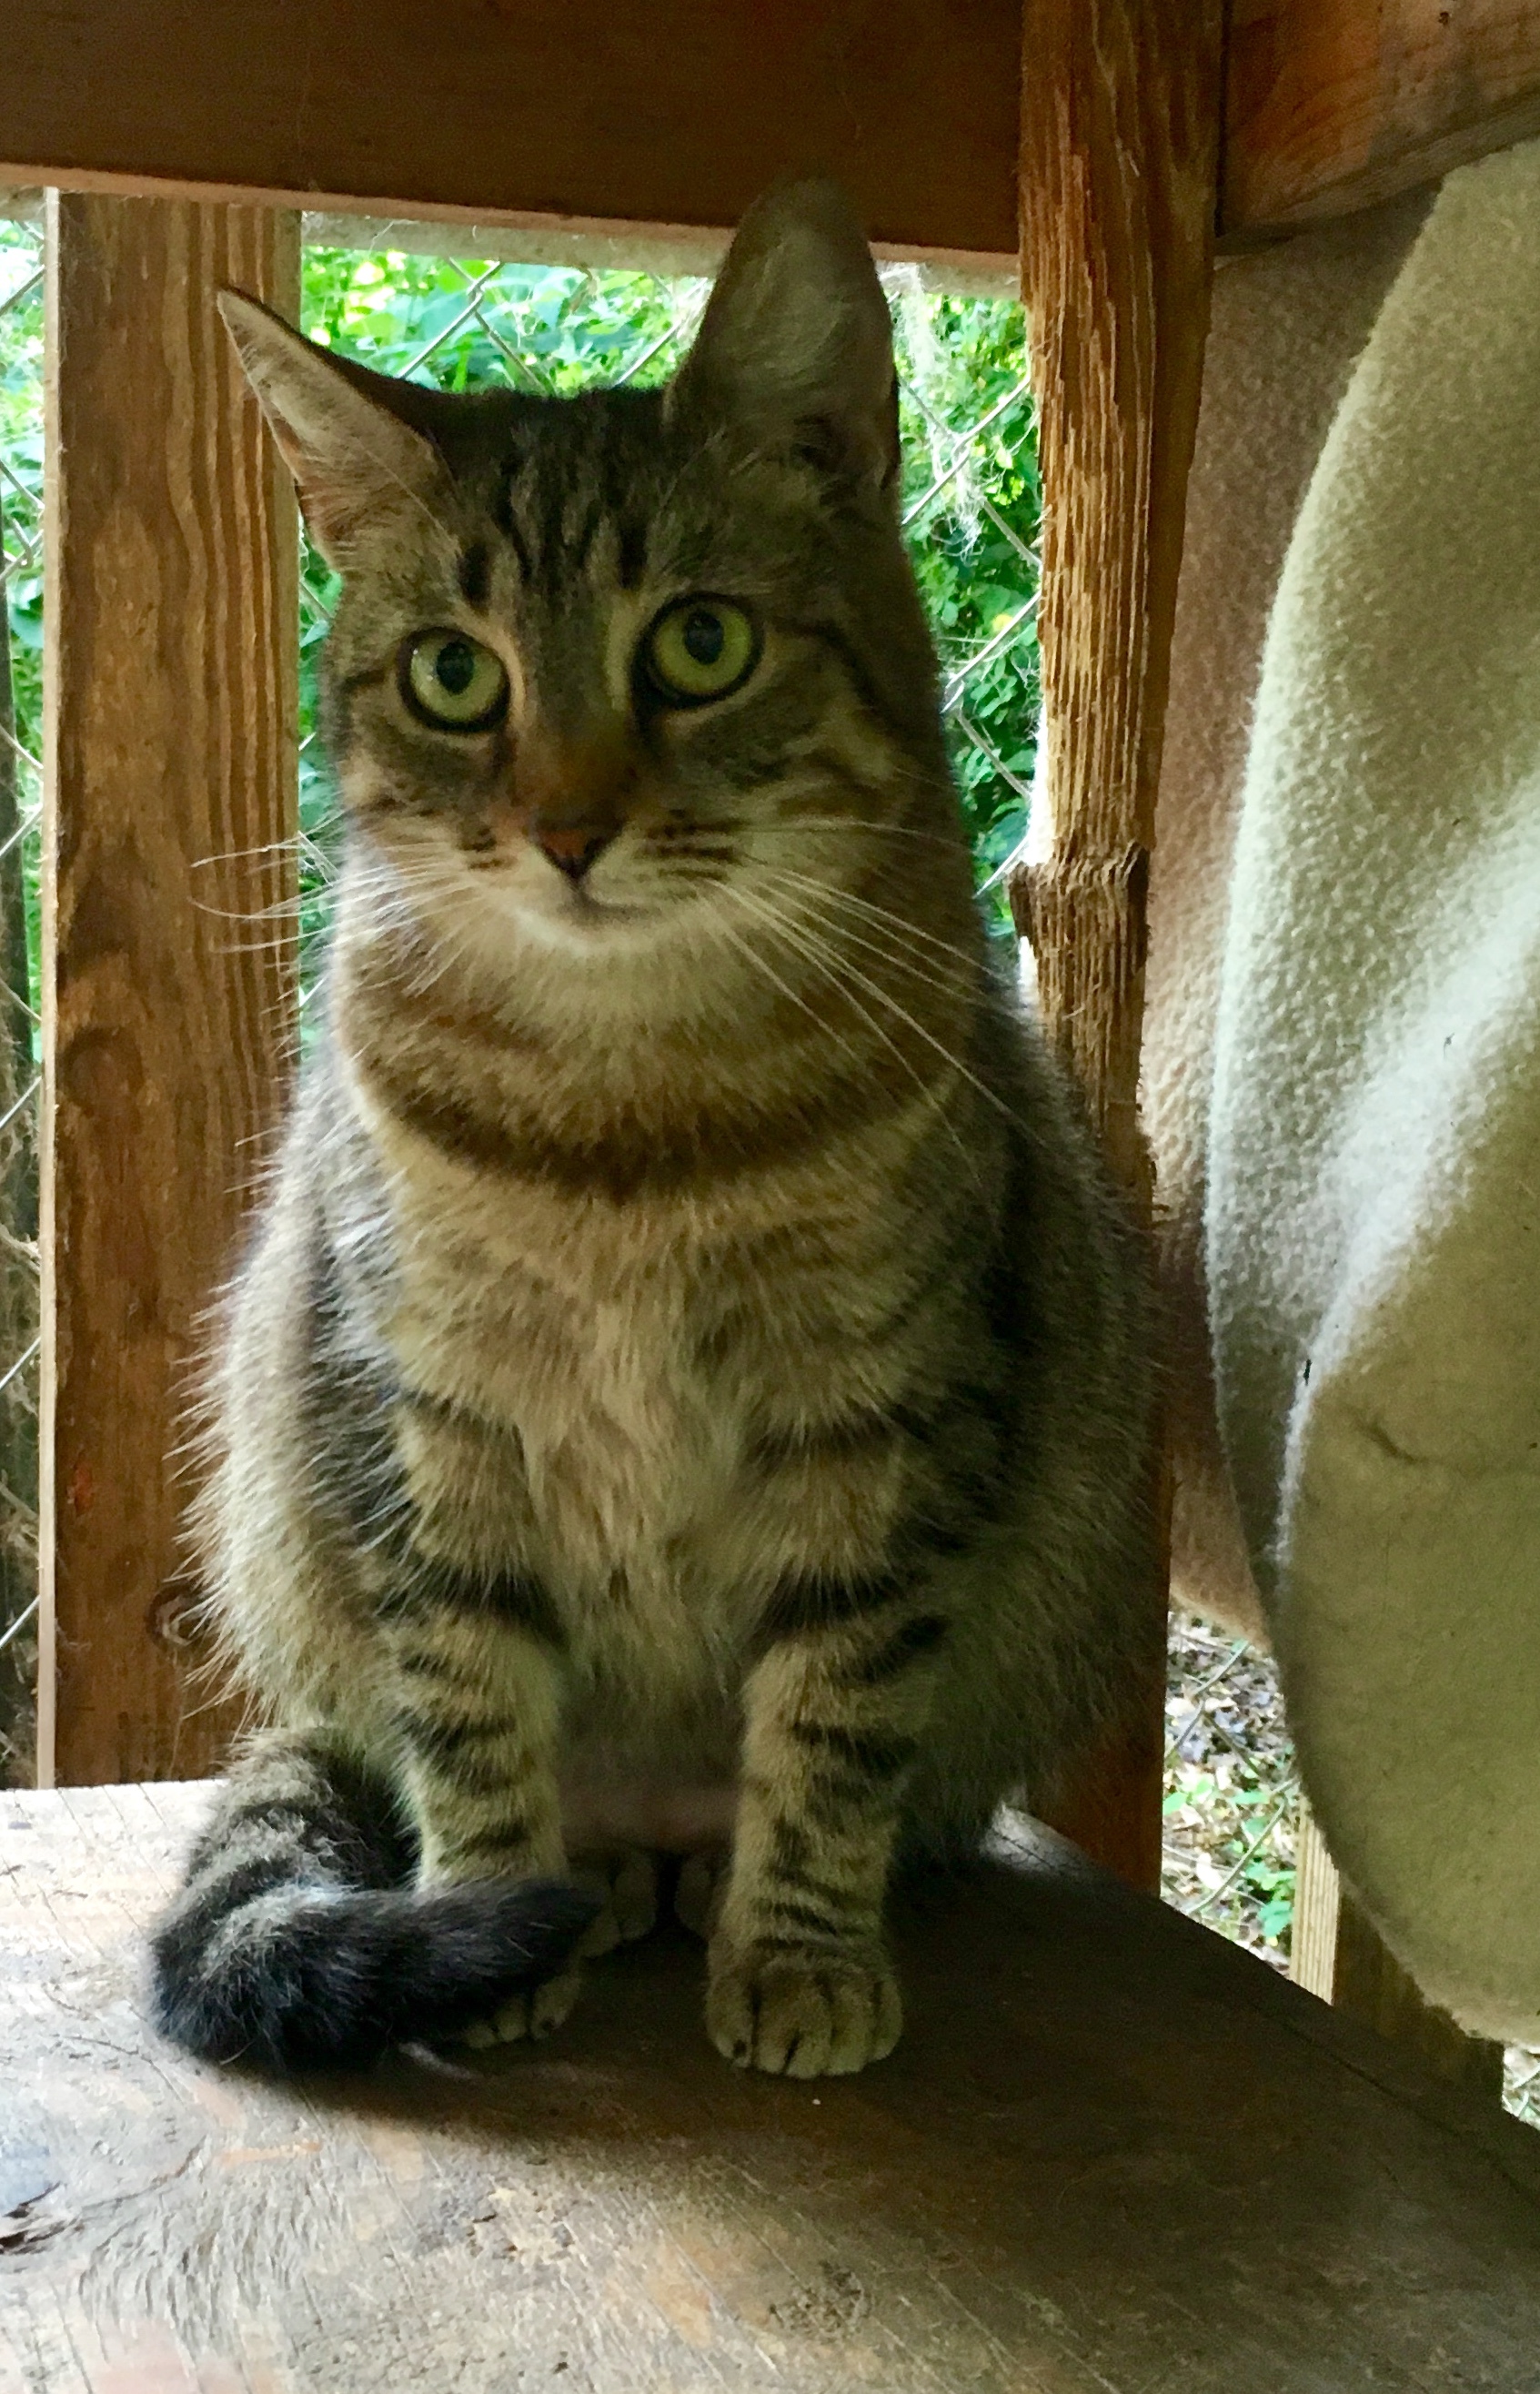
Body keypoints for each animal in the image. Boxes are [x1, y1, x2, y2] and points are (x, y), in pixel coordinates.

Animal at [150, 181, 1159, 2077]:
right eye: (453, 675)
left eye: (699, 642)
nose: (564, 828)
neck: (628, 1109)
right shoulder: (428, 1416)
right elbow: (468, 1706)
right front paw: (497, 1915)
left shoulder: (879, 1415)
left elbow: (832, 1719)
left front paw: (801, 1951)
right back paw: (591, 1880)